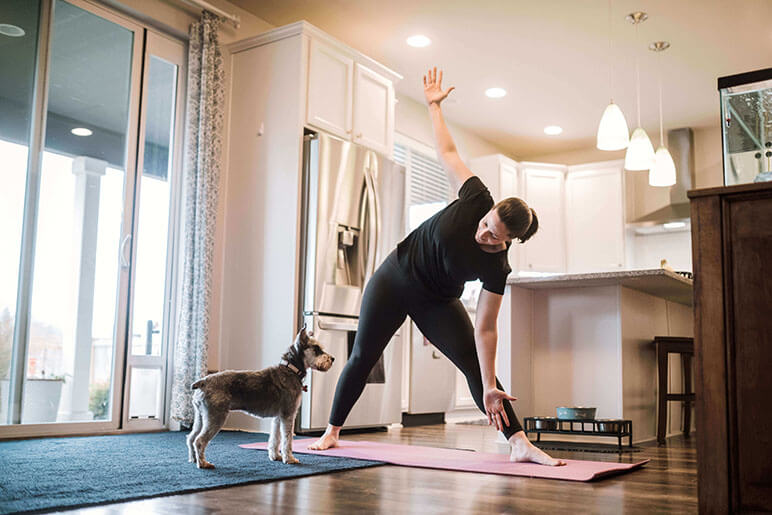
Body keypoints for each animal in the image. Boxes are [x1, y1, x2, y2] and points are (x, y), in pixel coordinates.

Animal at [188, 328, 334, 470]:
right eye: (316, 348)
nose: (332, 358)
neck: (291, 370)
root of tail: (203, 382)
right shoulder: (288, 415)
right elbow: (287, 440)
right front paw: (290, 459)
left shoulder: (278, 417)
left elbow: (275, 438)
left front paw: (276, 456)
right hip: (216, 417)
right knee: (199, 440)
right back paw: (203, 463)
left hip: (201, 417)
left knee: (191, 437)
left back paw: (194, 459)